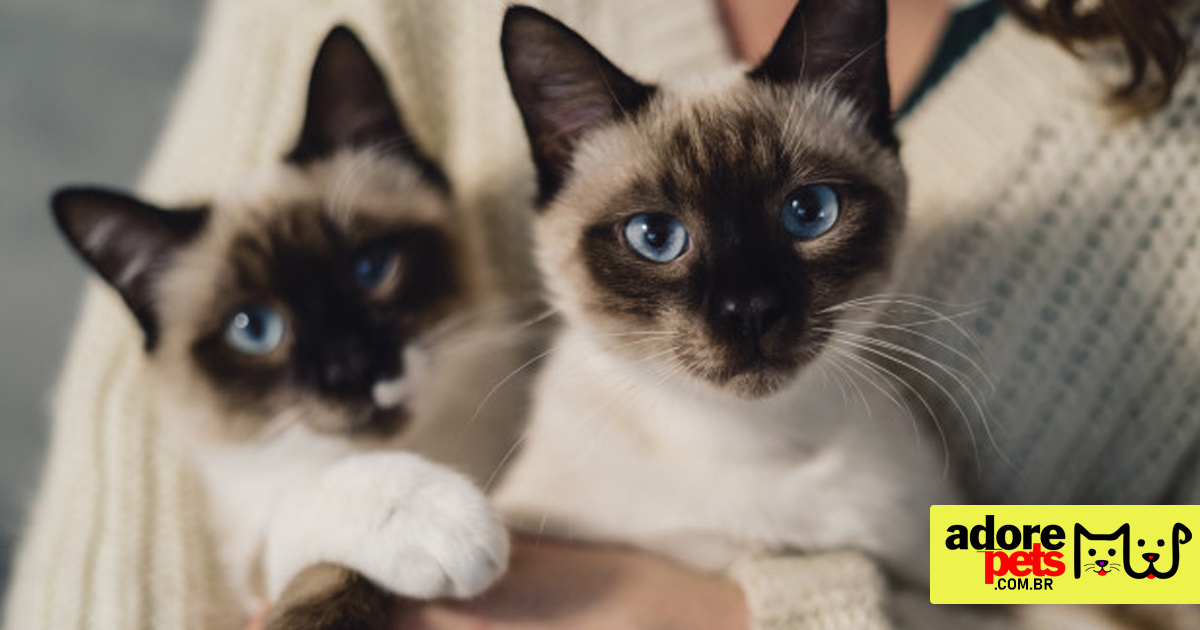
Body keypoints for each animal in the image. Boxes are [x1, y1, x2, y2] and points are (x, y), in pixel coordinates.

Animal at [54, 25, 513, 628]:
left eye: (370, 269)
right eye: (253, 329)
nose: (354, 370)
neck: (436, 446)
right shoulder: (251, 572)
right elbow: (314, 491)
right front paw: (447, 521)